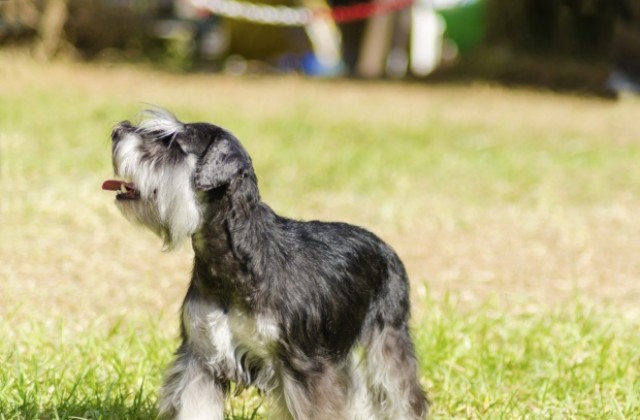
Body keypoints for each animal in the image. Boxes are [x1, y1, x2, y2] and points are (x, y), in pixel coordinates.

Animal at [102, 110, 428, 418]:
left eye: (172, 143)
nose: (116, 130)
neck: (233, 263)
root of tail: (385, 248)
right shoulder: (200, 359)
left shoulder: (305, 367)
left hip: (387, 341)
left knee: (404, 397)